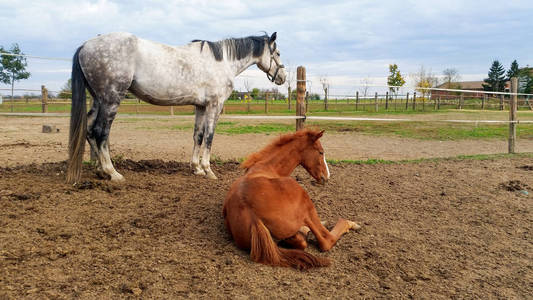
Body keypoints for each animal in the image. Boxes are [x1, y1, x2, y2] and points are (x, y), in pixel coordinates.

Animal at [67, 32, 286, 183]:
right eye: (277, 53)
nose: (282, 78)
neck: (222, 62)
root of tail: (85, 46)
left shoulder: (200, 106)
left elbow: (198, 136)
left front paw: (196, 168)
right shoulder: (214, 106)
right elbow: (209, 137)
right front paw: (208, 170)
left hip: (99, 99)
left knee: (89, 129)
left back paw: (100, 170)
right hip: (111, 99)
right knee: (100, 132)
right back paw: (112, 172)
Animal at [222, 129, 360, 270]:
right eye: (321, 152)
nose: (327, 177)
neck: (267, 168)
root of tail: (253, 216)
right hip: (307, 204)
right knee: (326, 239)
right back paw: (349, 224)